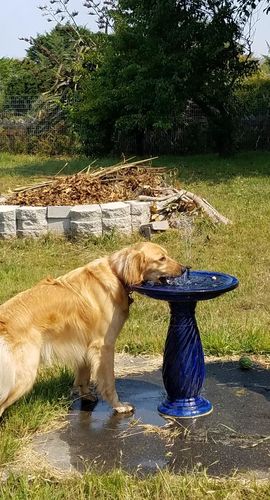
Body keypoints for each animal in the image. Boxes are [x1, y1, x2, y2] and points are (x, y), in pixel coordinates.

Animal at [0, 243, 184, 418]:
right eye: (161, 259)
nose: (184, 269)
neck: (116, 274)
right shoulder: (104, 345)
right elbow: (109, 382)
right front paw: (119, 406)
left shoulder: (84, 345)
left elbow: (84, 375)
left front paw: (87, 395)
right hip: (25, 375)